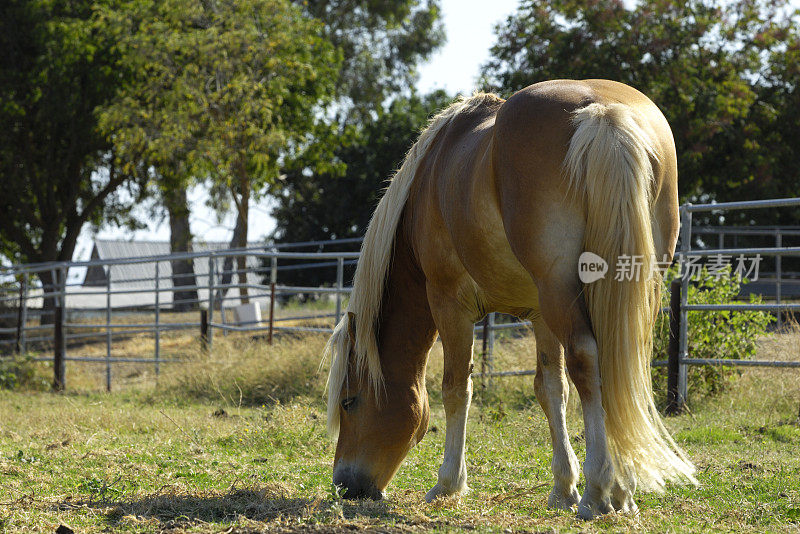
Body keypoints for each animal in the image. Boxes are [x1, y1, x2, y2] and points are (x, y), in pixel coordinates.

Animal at [322, 78, 696, 520]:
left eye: (349, 402)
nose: (344, 486)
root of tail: (603, 113)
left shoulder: (450, 303)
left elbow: (456, 388)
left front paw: (448, 485)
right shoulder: (540, 315)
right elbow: (551, 389)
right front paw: (563, 487)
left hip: (560, 288)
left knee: (588, 361)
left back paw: (598, 491)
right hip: (623, 290)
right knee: (619, 366)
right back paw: (620, 492)